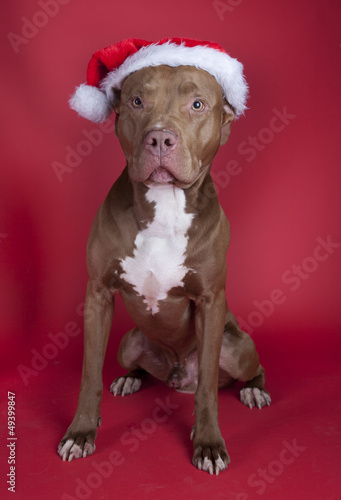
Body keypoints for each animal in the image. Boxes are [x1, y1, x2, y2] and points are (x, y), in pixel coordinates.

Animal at [57, 38, 270, 472]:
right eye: (137, 101)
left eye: (197, 105)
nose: (159, 139)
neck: (165, 206)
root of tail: (176, 376)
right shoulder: (98, 295)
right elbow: (89, 374)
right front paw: (81, 432)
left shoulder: (210, 301)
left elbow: (208, 386)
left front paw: (208, 442)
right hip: (128, 342)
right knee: (134, 363)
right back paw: (130, 379)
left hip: (237, 346)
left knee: (245, 370)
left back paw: (254, 390)